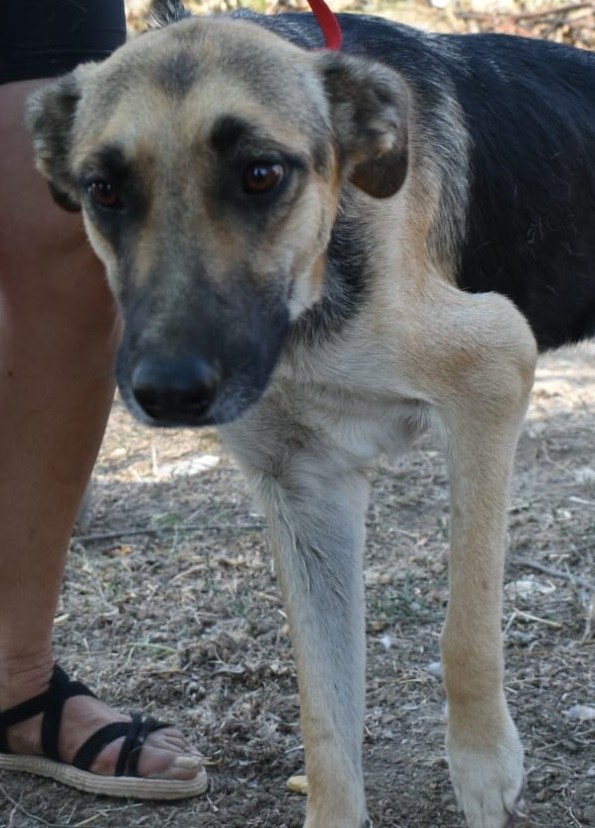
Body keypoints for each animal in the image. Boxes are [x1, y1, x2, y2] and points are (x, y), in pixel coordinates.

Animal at [26, 2, 595, 826]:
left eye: (262, 175)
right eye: (103, 189)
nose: (167, 393)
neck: (313, 283)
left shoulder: (493, 370)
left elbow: (466, 622)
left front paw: (482, 765)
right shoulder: (304, 491)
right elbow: (324, 706)